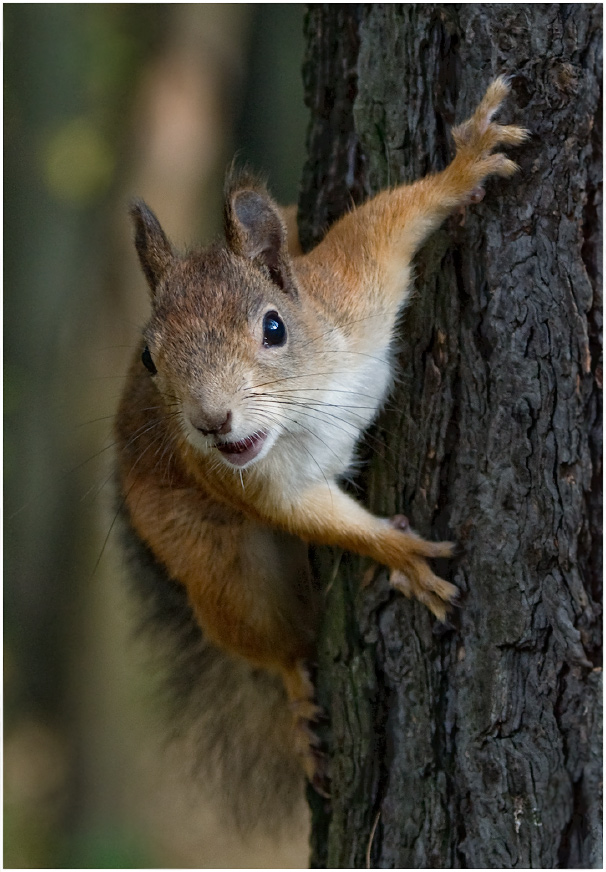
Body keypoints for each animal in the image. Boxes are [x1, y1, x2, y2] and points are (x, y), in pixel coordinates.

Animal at [115, 80, 528, 832]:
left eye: (274, 327)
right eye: (151, 360)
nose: (211, 424)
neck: (305, 406)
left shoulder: (353, 288)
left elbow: (392, 218)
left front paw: (464, 165)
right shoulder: (253, 484)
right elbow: (315, 517)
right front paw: (403, 557)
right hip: (217, 567)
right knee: (272, 641)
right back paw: (299, 705)